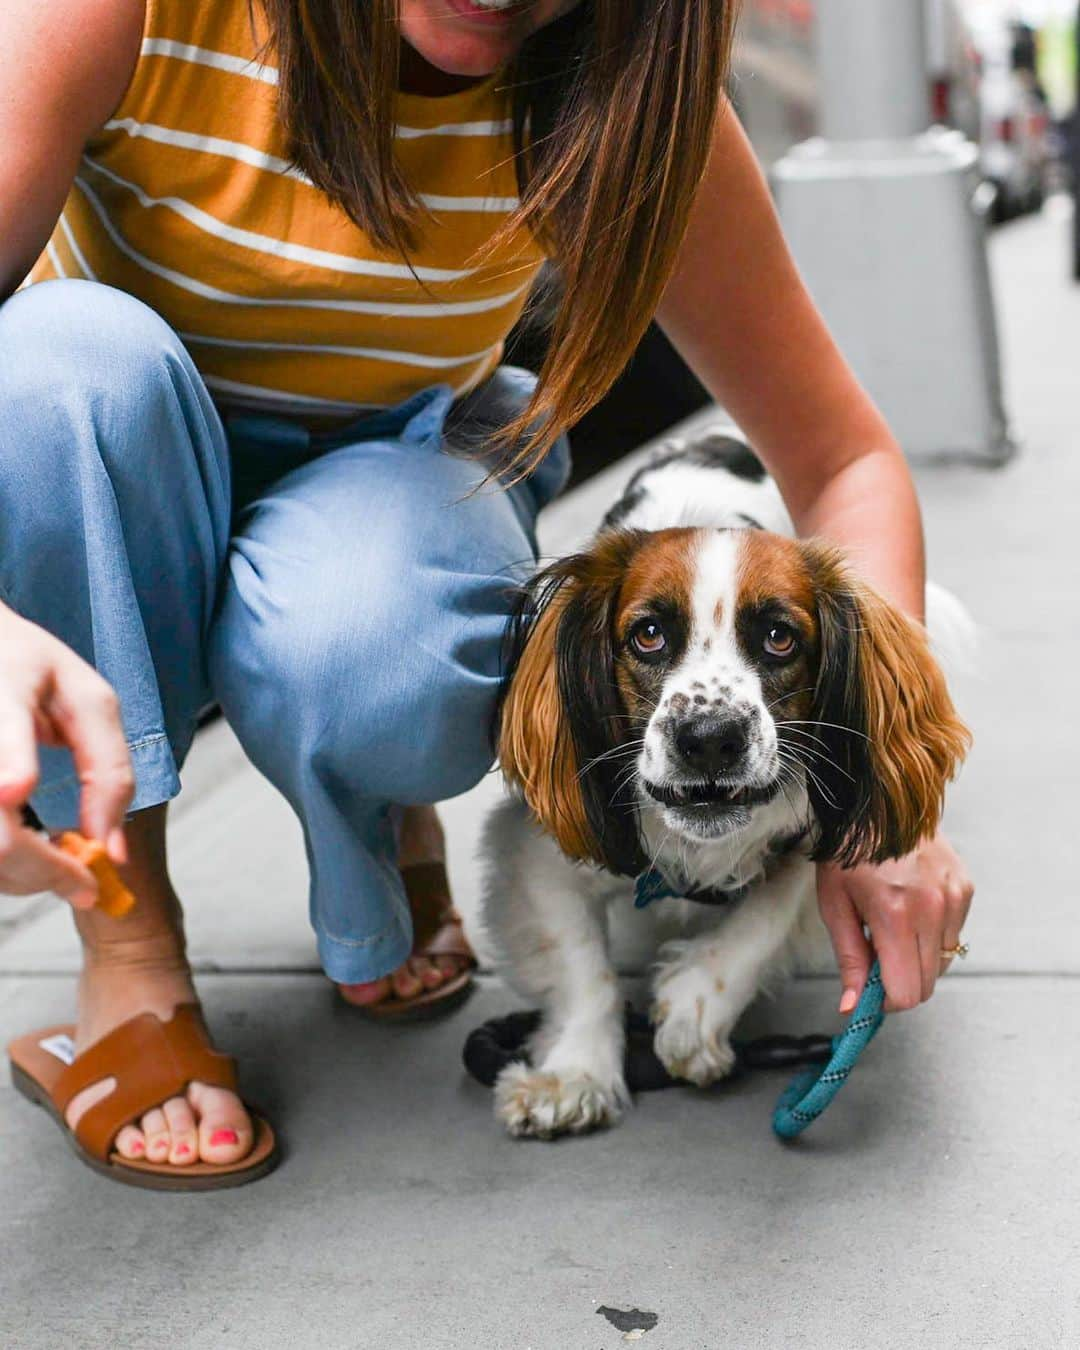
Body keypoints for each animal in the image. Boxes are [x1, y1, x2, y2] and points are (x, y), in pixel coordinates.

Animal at [480, 429, 972, 1139]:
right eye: (648, 635)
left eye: (779, 637)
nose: (710, 737)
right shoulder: (538, 851)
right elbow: (580, 966)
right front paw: (574, 1075)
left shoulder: (814, 828)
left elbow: (770, 912)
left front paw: (695, 1008)